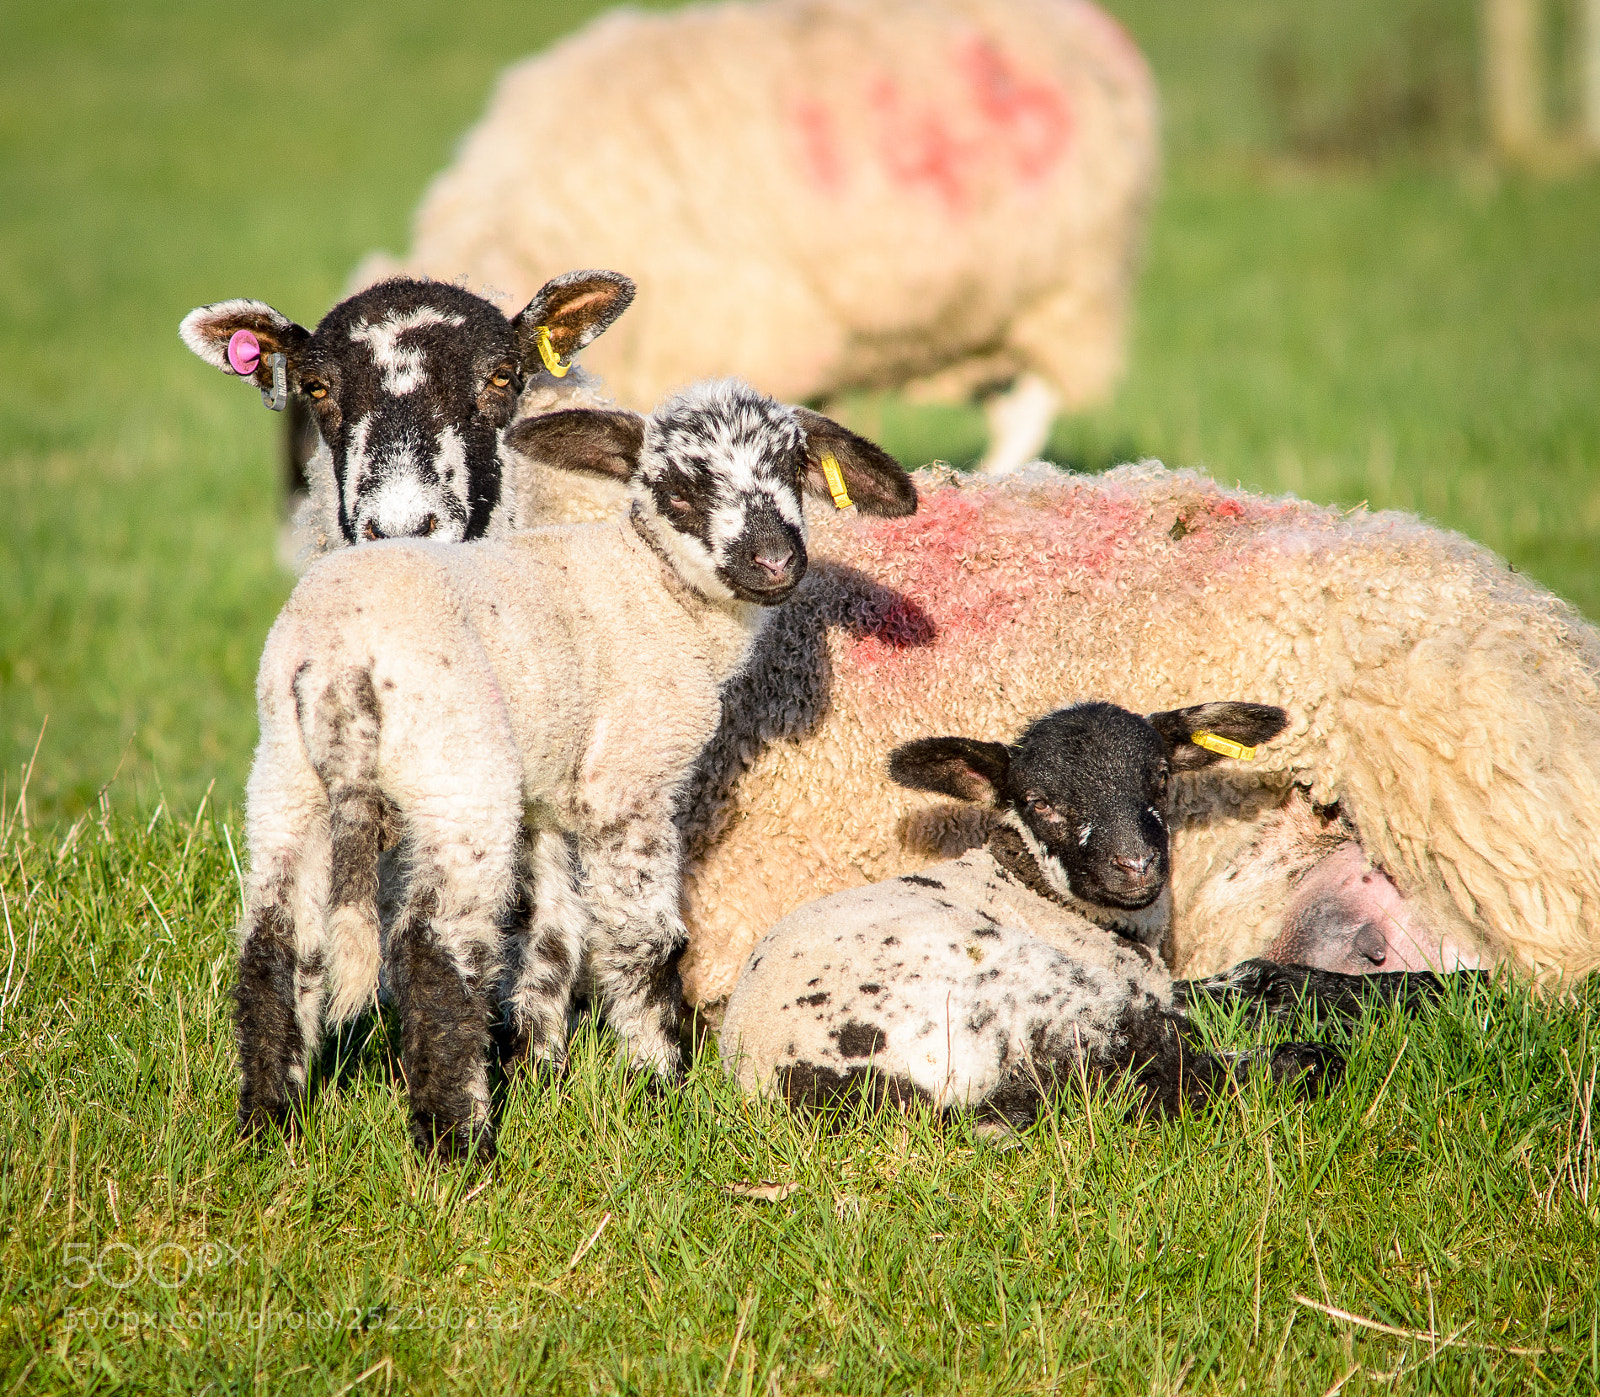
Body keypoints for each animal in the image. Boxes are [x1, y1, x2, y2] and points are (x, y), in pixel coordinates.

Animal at [232, 379, 917, 1160]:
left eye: (795, 467)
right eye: (680, 487)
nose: (774, 561)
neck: (655, 587)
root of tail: (341, 657)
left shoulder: (555, 795)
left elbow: (554, 932)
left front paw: (541, 1067)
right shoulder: (630, 779)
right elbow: (645, 939)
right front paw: (658, 1081)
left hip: (285, 774)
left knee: (275, 941)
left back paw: (268, 1124)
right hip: (460, 771)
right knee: (436, 951)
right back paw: (458, 1147)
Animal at [720, 699, 1367, 1120]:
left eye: (1160, 777)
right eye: (1039, 803)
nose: (1135, 865)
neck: (1028, 885)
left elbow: (1258, 979)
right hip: (1022, 992)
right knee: (1155, 1075)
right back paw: (1306, 1060)